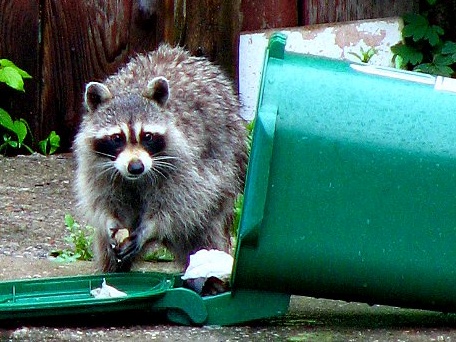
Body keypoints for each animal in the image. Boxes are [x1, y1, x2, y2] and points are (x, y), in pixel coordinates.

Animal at [73, 44, 248, 272]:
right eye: (117, 138)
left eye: (147, 136)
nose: (136, 167)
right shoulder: (96, 165)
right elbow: (102, 200)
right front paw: (111, 220)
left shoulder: (187, 164)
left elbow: (181, 204)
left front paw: (150, 227)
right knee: (107, 251)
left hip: (228, 166)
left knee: (204, 231)